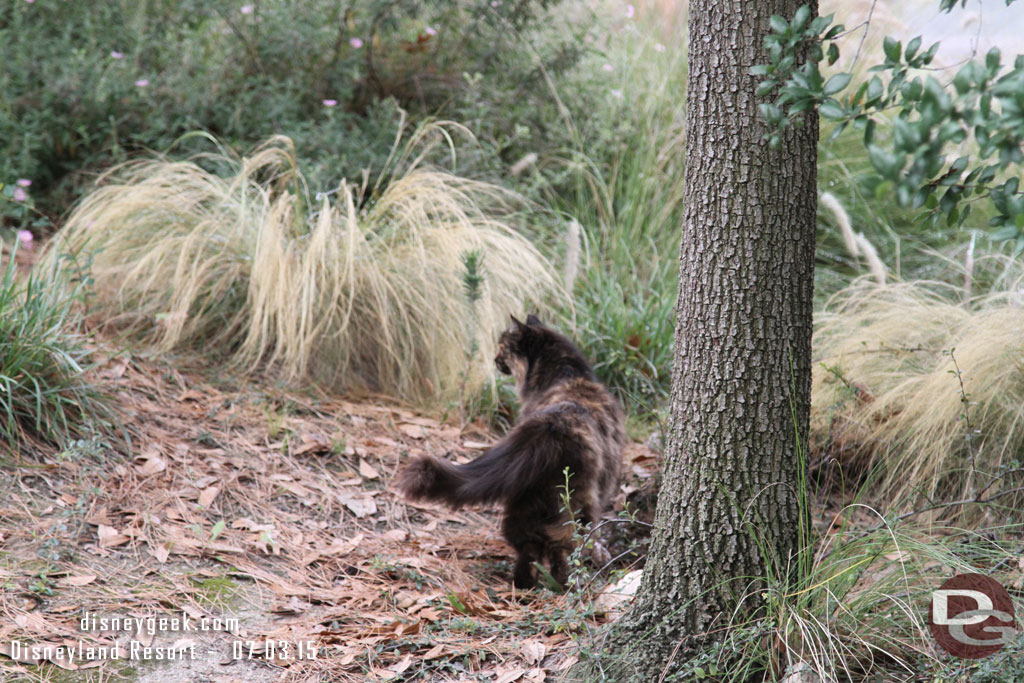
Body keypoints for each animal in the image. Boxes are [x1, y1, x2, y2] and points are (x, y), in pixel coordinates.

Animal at [393, 315, 622, 589]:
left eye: (501, 347)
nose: (494, 359)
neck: (565, 374)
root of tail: (554, 423)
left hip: (525, 504)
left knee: (530, 549)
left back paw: (525, 585)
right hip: (574, 506)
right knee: (563, 549)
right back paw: (563, 586)